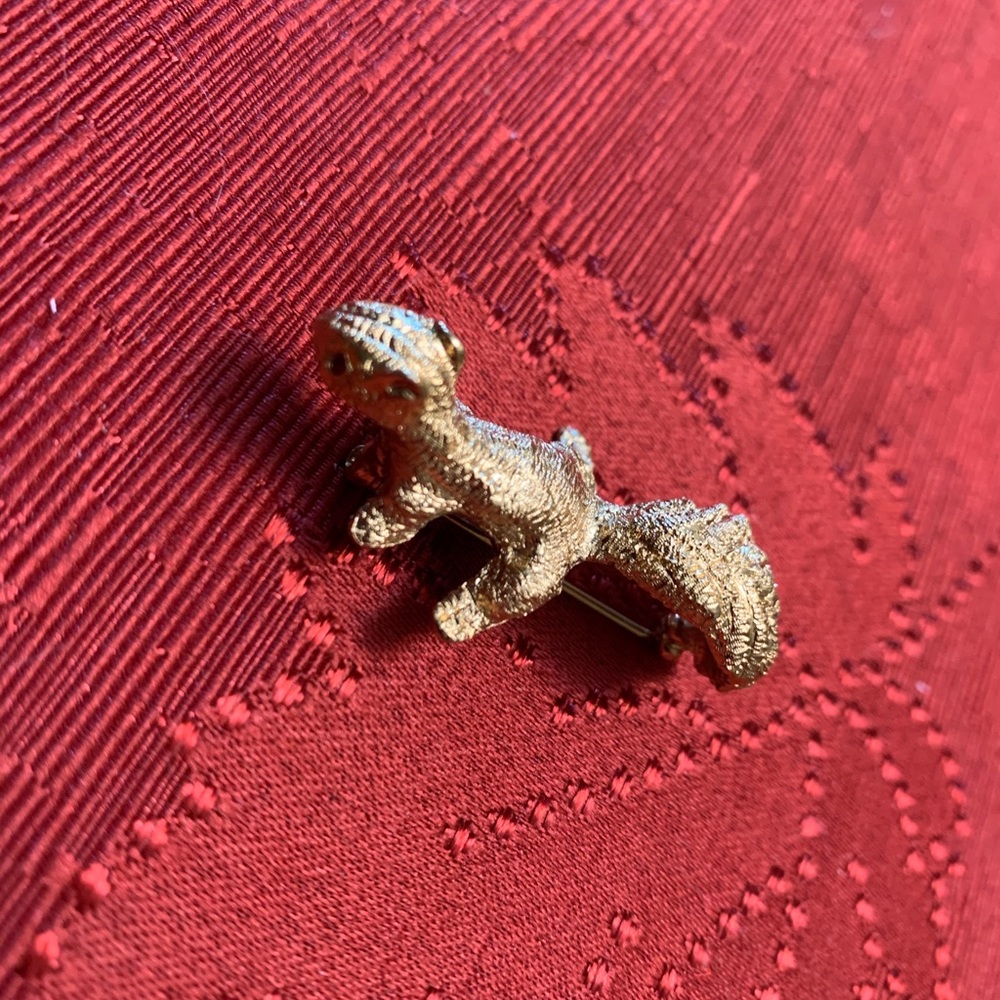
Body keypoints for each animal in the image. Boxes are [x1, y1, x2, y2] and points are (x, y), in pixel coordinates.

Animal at [312, 301, 779, 687]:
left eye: (341, 363)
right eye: (367, 309)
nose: (323, 322)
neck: (442, 428)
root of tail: (595, 522)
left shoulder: (427, 489)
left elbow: (401, 513)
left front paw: (368, 526)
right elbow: (373, 460)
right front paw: (358, 468)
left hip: (541, 563)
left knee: (511, 593)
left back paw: (456, 614)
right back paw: (576, 442)